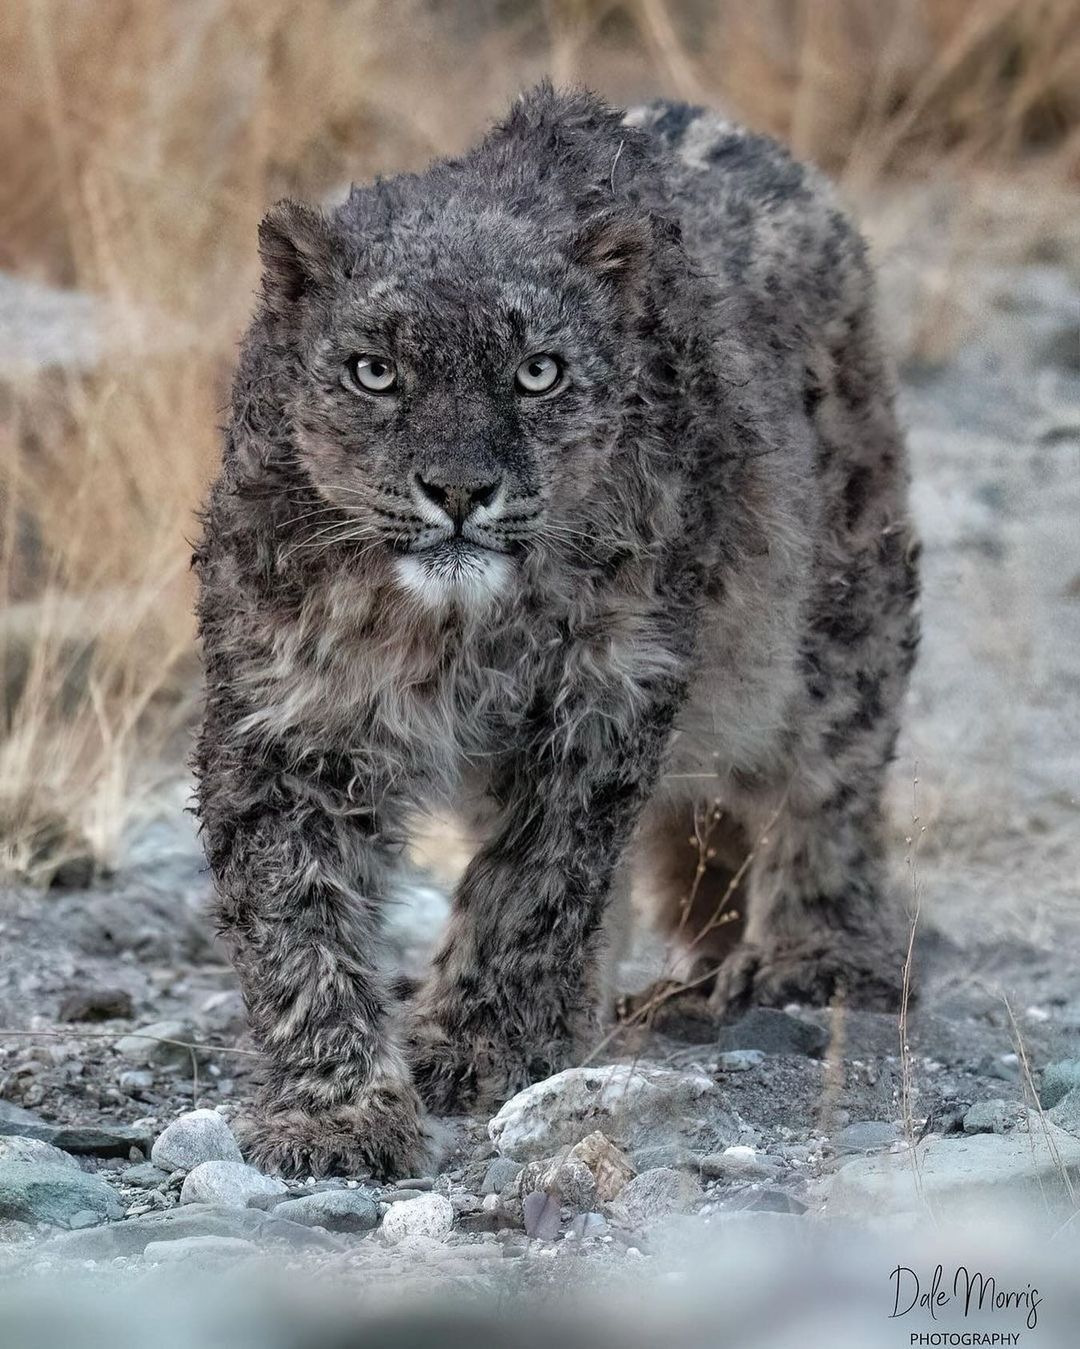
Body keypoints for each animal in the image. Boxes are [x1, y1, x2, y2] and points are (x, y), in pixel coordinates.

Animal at [194, 87, 916, 1181]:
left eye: (539, 370)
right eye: (375, 370)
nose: (458, 489)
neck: (453, 641)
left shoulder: (602, 692)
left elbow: (535, 885)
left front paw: (477, 1047)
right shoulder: (289, 716)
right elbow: (297, 915)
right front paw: (335, 1112)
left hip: (843, 614)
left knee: (834, 774)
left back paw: (816, 955)